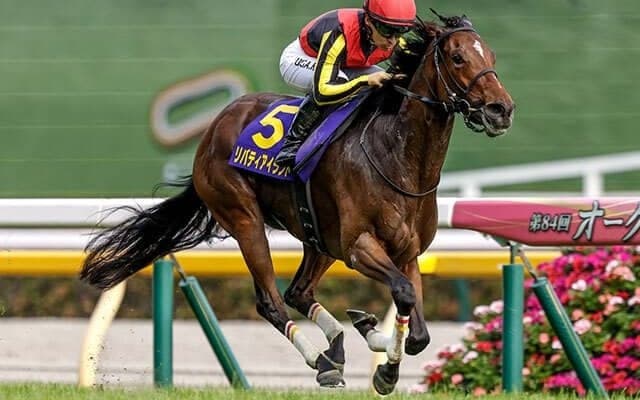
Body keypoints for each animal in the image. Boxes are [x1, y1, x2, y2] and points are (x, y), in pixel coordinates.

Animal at [80, 12, 514, 394]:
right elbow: (404, 296)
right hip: (245, 219)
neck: (399, 157)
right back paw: (323, 360)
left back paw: (347, 338)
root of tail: (216, 126)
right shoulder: (359, 247)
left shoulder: (407, 253)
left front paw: (379, 348)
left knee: (298, 293)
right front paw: (385, 370)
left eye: (492, 57)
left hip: (319, 236)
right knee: (272, 302)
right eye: (457, 57)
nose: (502, 109)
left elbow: (418, 330)